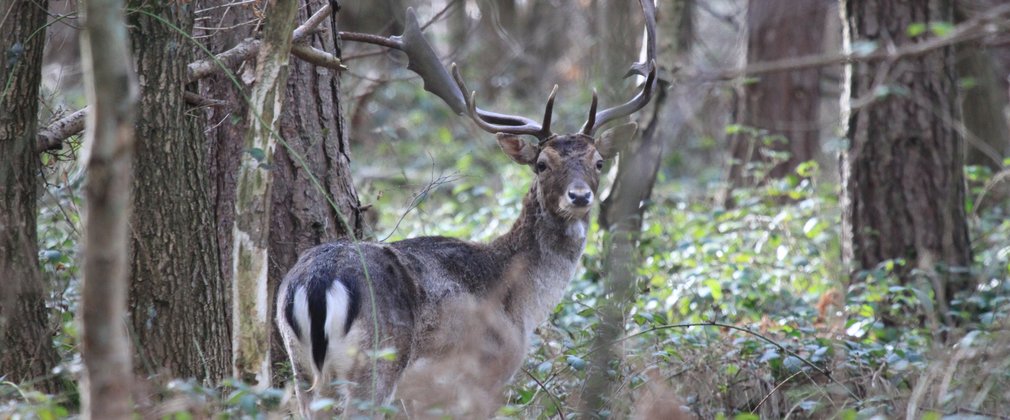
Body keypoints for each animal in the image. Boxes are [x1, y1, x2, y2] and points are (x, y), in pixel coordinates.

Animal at [276, 0, 658, 415]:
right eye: (542, 164)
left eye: (599, 162)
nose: (580, 196)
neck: (523, 302)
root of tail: (315, 283)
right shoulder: (487, 372)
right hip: (377, 361)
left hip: (301, 366)